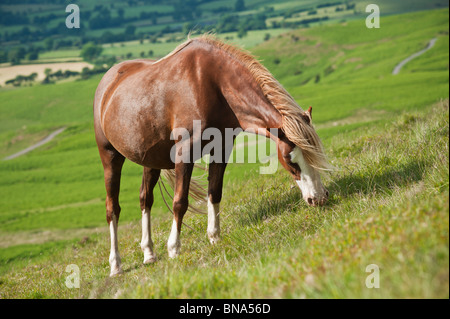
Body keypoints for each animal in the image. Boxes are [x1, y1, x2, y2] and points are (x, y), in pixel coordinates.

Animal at [93, 33, 328, 276]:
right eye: (292, 163)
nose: (318, 198)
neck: (211, 83)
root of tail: (108, 81)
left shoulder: (222, 148)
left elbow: (215, 192)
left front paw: (214, 237)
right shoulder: (184, 152)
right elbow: (180, 202)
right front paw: (174, 248)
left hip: (151, 160)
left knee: (145, 199)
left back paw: (149, 253)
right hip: (110, 157)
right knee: (113, 209)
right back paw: (116, 265)